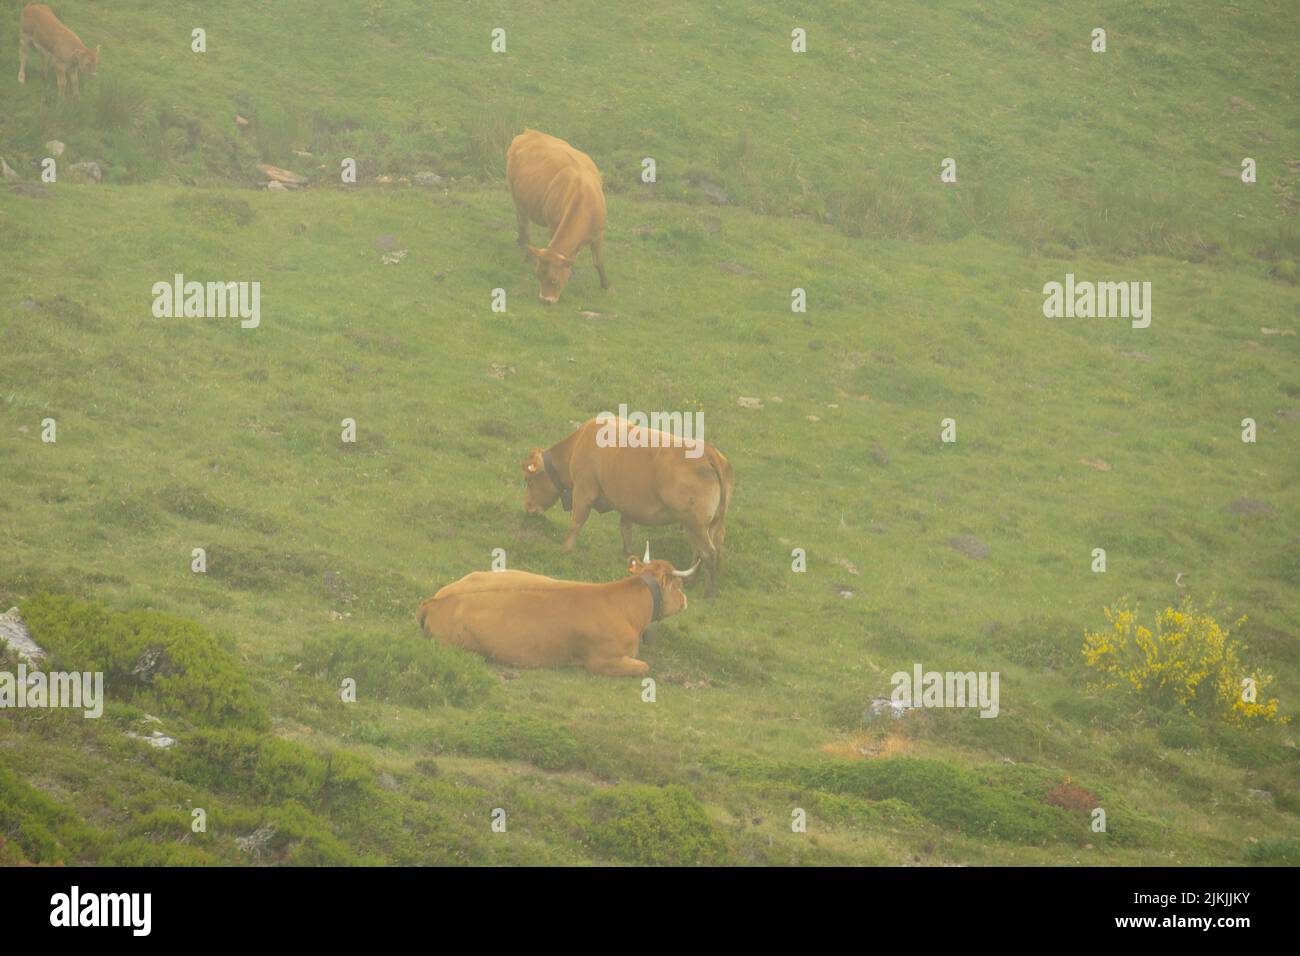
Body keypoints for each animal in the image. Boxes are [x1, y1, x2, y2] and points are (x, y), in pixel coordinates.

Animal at [505, 128, 607, 304]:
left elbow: (598, 261)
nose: (545, 300)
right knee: (524, 225)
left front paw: (606, 286)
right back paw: (527, 253)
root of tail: (529, 132)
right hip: (517, 198)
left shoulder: (598, 234)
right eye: (538, 276)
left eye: (554, 279)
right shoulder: (554, 226)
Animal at [522, 417, 734, 597]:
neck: (579, 444)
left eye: (529, 480)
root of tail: (709, 452)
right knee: (701, 551)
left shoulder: (584, 490)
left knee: (708, 553)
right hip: (706, 525)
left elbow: (576, 522)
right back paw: (691, 582)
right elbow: (625, 528)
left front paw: (565, 549)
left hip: (694, 523)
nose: (528, 508)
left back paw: (708, 594)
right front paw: (627, 554)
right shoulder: (627, 505)